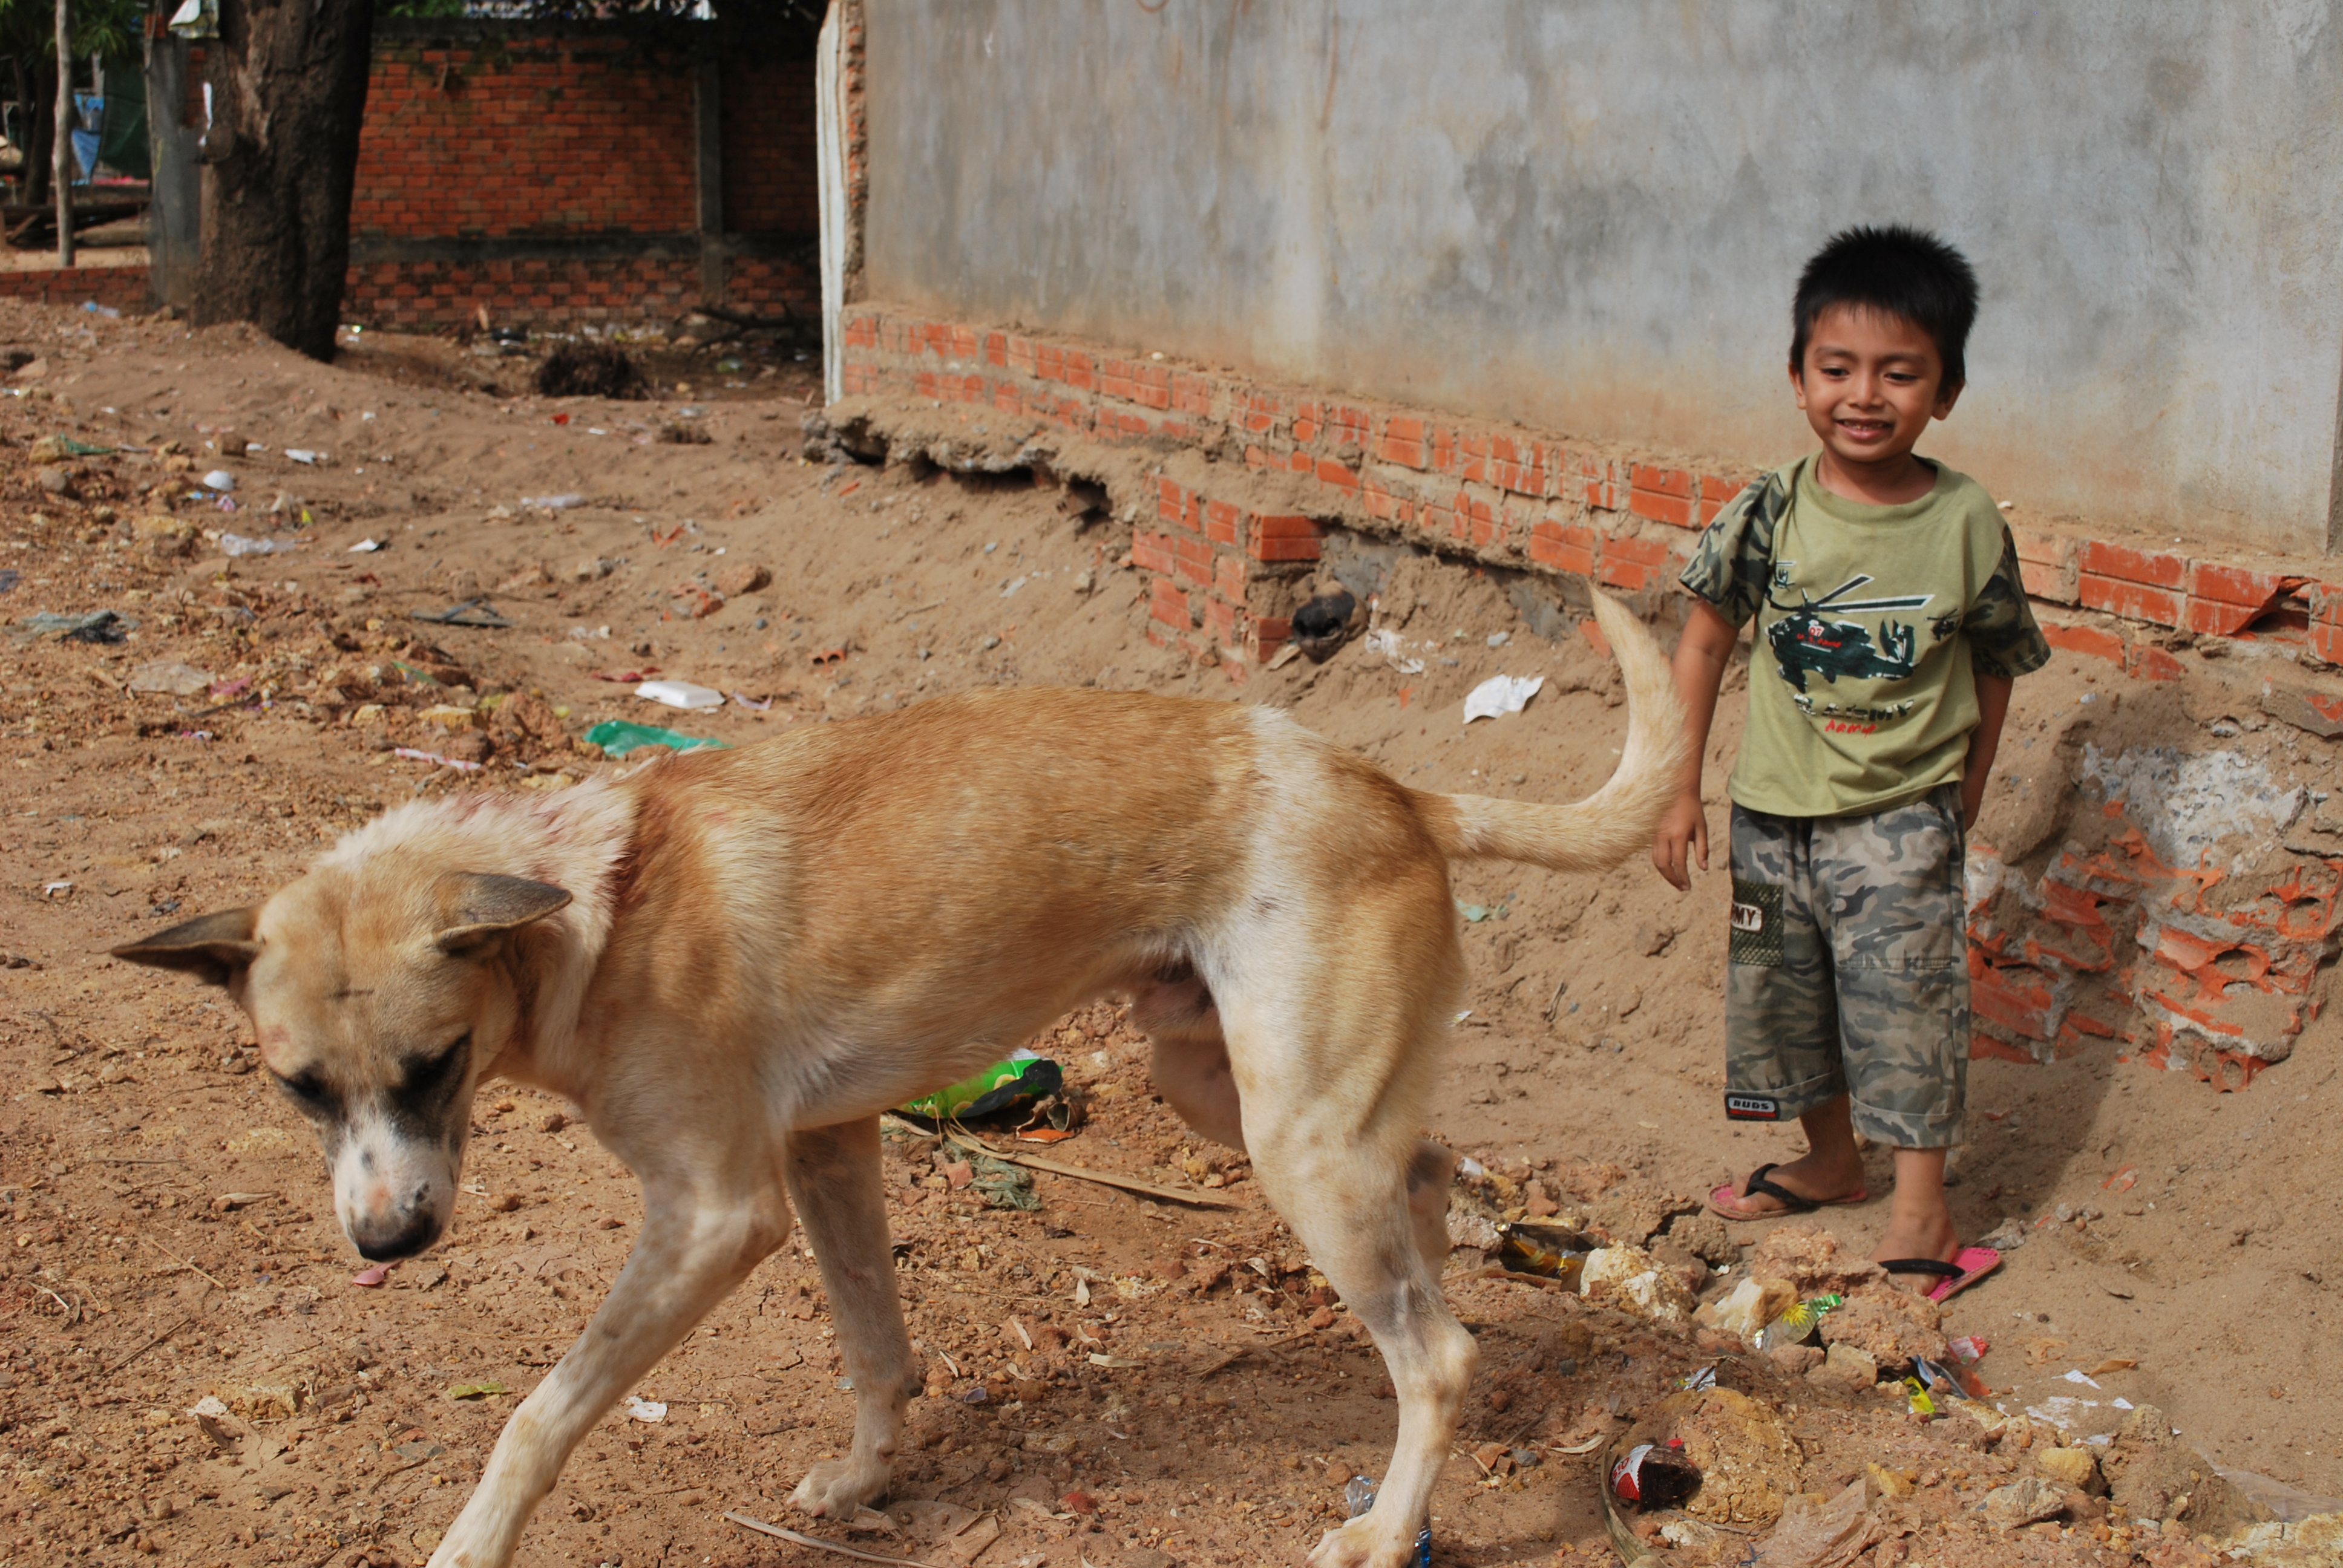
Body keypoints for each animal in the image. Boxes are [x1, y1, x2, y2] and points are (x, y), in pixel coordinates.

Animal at [114, 590, 1686, 1566]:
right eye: (299, 1091)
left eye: (435, 1065)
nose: (387, 1243)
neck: (587, 910)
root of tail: (1395, 786)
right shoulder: (829, 1149)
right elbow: (877, 1345)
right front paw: (868, 1482)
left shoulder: (716, 1214)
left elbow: (535, 1413)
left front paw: (469, 1542)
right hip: (1233, 1093)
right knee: (1430, 1183)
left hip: (1293, 1140)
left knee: (1435, 1348)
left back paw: (1388, 1519)